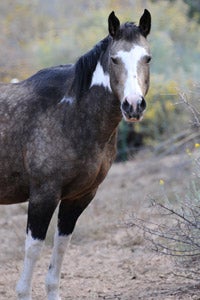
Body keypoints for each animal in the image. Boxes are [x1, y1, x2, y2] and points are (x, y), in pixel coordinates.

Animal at [0, 9, 151, 300]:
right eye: (114, 59)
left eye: (147, 57)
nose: (133, 105)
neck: (70, 113)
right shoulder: (43, 195)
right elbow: (33, 249)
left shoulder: (79, 197)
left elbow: (60, 247)